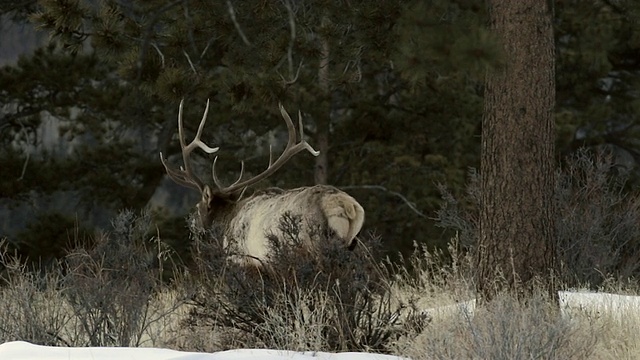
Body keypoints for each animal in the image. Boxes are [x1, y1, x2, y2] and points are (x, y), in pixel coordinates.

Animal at [160, 100, 364, 266]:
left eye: (197, 206)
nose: (190, 223)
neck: (224, 227)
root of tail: (347, 206)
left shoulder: (242, 259)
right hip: (350, 245)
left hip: (314, 244)